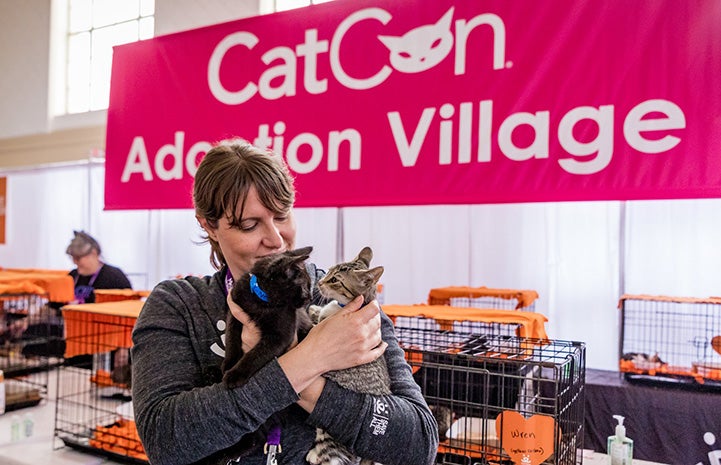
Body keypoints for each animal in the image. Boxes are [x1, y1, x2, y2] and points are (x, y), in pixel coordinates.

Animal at [221, 246, 314, 388]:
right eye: (305, 287)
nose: (311, 297)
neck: (262, 302)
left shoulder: (280, 336)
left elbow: (256, 355)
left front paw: (235, 374)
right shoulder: (234, 312)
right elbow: (231, 337)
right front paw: (229, 362)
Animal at [306, 248, 388, 464]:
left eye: (335, 279)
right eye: (328, 271)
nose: (320, 282)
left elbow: (313, 327)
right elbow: (318, 313)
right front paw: (314, 308)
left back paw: (314, 455)